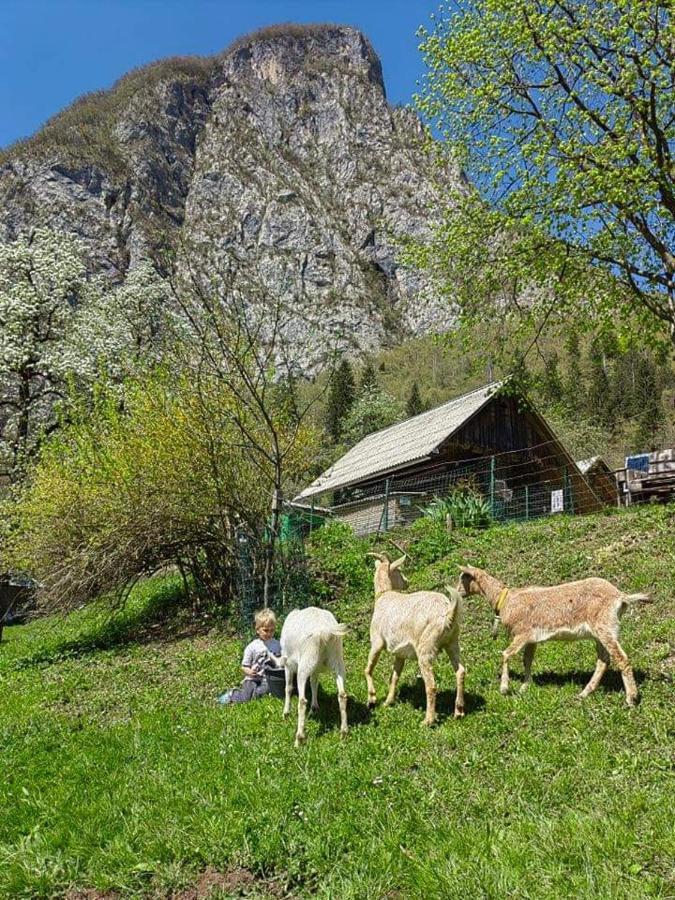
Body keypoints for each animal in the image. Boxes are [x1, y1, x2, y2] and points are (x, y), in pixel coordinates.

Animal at [274, 608, 348, 748]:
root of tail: (325, 631)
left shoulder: (288, 663)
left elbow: (288, 687)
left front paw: (286, 713)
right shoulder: (316, 669)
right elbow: (314, 683)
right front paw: (315, 708)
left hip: (306, 662)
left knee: (302, 701)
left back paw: (299, 739)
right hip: (337, 659)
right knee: (342, 695)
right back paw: (344, 733)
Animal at [364, 552, 464, 728]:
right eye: (399, 571)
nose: (407, 581)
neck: (384, 595)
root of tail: (447, 614)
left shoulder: (376, 642)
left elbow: (368, 669)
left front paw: (372, 699)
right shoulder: (399, 653)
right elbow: (394, 677)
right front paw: (388, 701)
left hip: (425, 648)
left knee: (431, 685)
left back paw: (428, 720)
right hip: (452, 642)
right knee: (460, 671)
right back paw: (458, 711)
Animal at [456, 568, 652, 708]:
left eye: (462, 578)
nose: (457, 593)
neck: (506, 600)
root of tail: (621, 597)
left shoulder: (523, 634)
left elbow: (506, 654)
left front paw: (504, 688)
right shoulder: (532, 639)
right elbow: (527, 660)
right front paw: (525, 686)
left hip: (606, 627)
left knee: (621, 658)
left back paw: (631, 699)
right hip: (600, 632)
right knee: (604, 660)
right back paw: (584, 693)